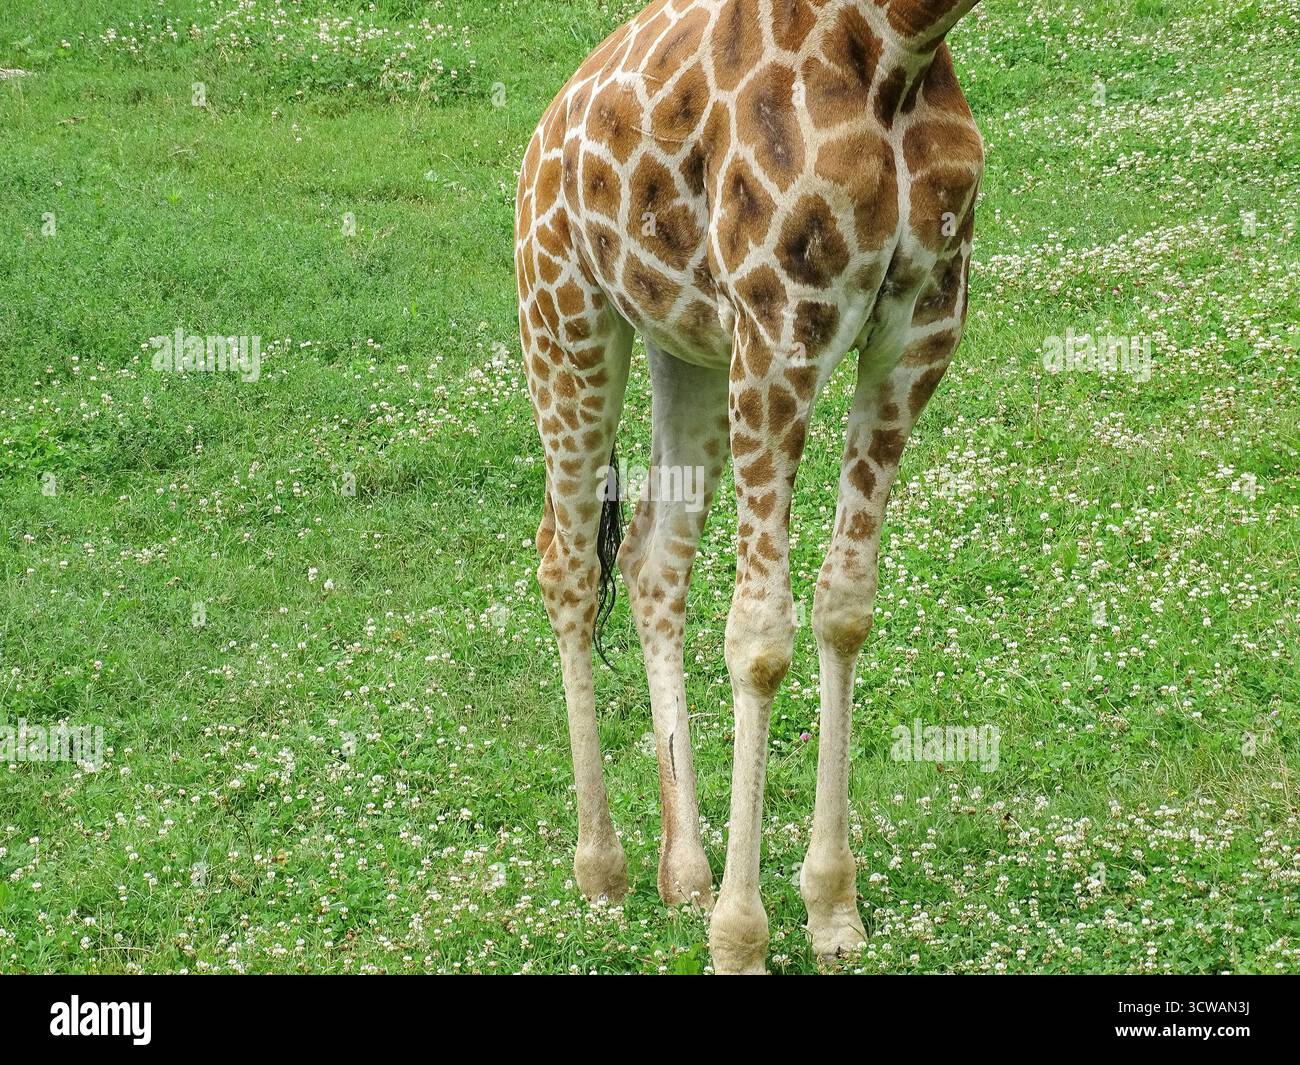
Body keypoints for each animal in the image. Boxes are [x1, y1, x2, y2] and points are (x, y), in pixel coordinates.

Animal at [515, 0, 984, 974]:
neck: (902, 47)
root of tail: (544, 130)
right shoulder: (780, 330)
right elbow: (760, 638)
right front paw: (742, 935)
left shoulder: (921, 328)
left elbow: (845, 607)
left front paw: (833, 908)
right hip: (565, 317)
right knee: (568, 562)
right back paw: (602, 867)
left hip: (685, 345)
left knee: (653, 557)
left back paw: (683, 871)